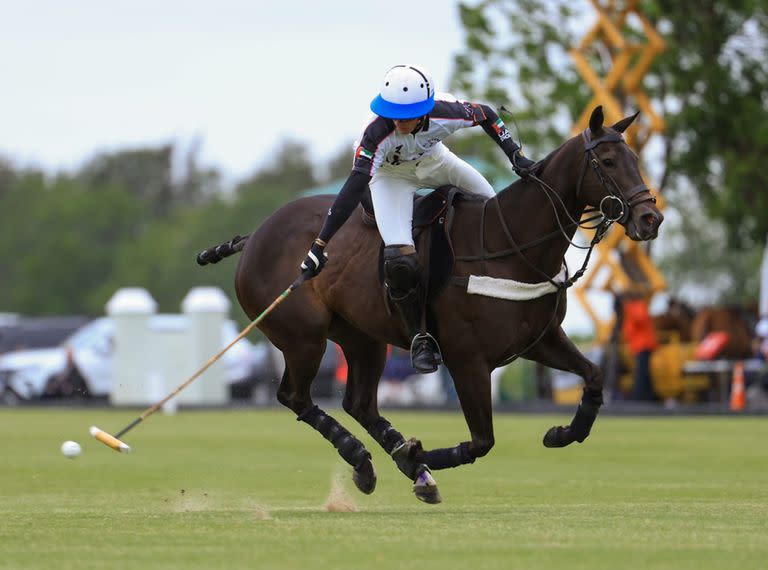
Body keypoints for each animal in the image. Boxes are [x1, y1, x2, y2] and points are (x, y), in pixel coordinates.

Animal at [201, 104, 664, 500]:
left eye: (635, 158)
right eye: (607, 162)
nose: (650, 219)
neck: (511, 244)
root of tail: (254, 236)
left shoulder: (540, 340)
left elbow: (594, 376)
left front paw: (562, 434)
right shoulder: (467, 359)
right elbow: (482, 441)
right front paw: (416, 452)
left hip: (362, 337)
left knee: (358, 402)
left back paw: (397, 467)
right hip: (303, 337)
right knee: (296, 397)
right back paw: (370, 458)